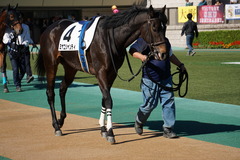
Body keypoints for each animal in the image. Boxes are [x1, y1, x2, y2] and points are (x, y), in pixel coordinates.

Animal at [35, 5, 168, 144]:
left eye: (165, 27)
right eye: (154, 28)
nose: (163, 53)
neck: (111, 37)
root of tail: (49, 28)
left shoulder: (112, 73)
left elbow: (104, 99)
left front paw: (103, 129)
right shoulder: (101, 72)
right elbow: (108, 100)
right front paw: (110, 132)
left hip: (70, 67)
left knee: (62, 88)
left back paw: (61, 120)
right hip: (51, 64)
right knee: (50, 93)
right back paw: (56, 126)